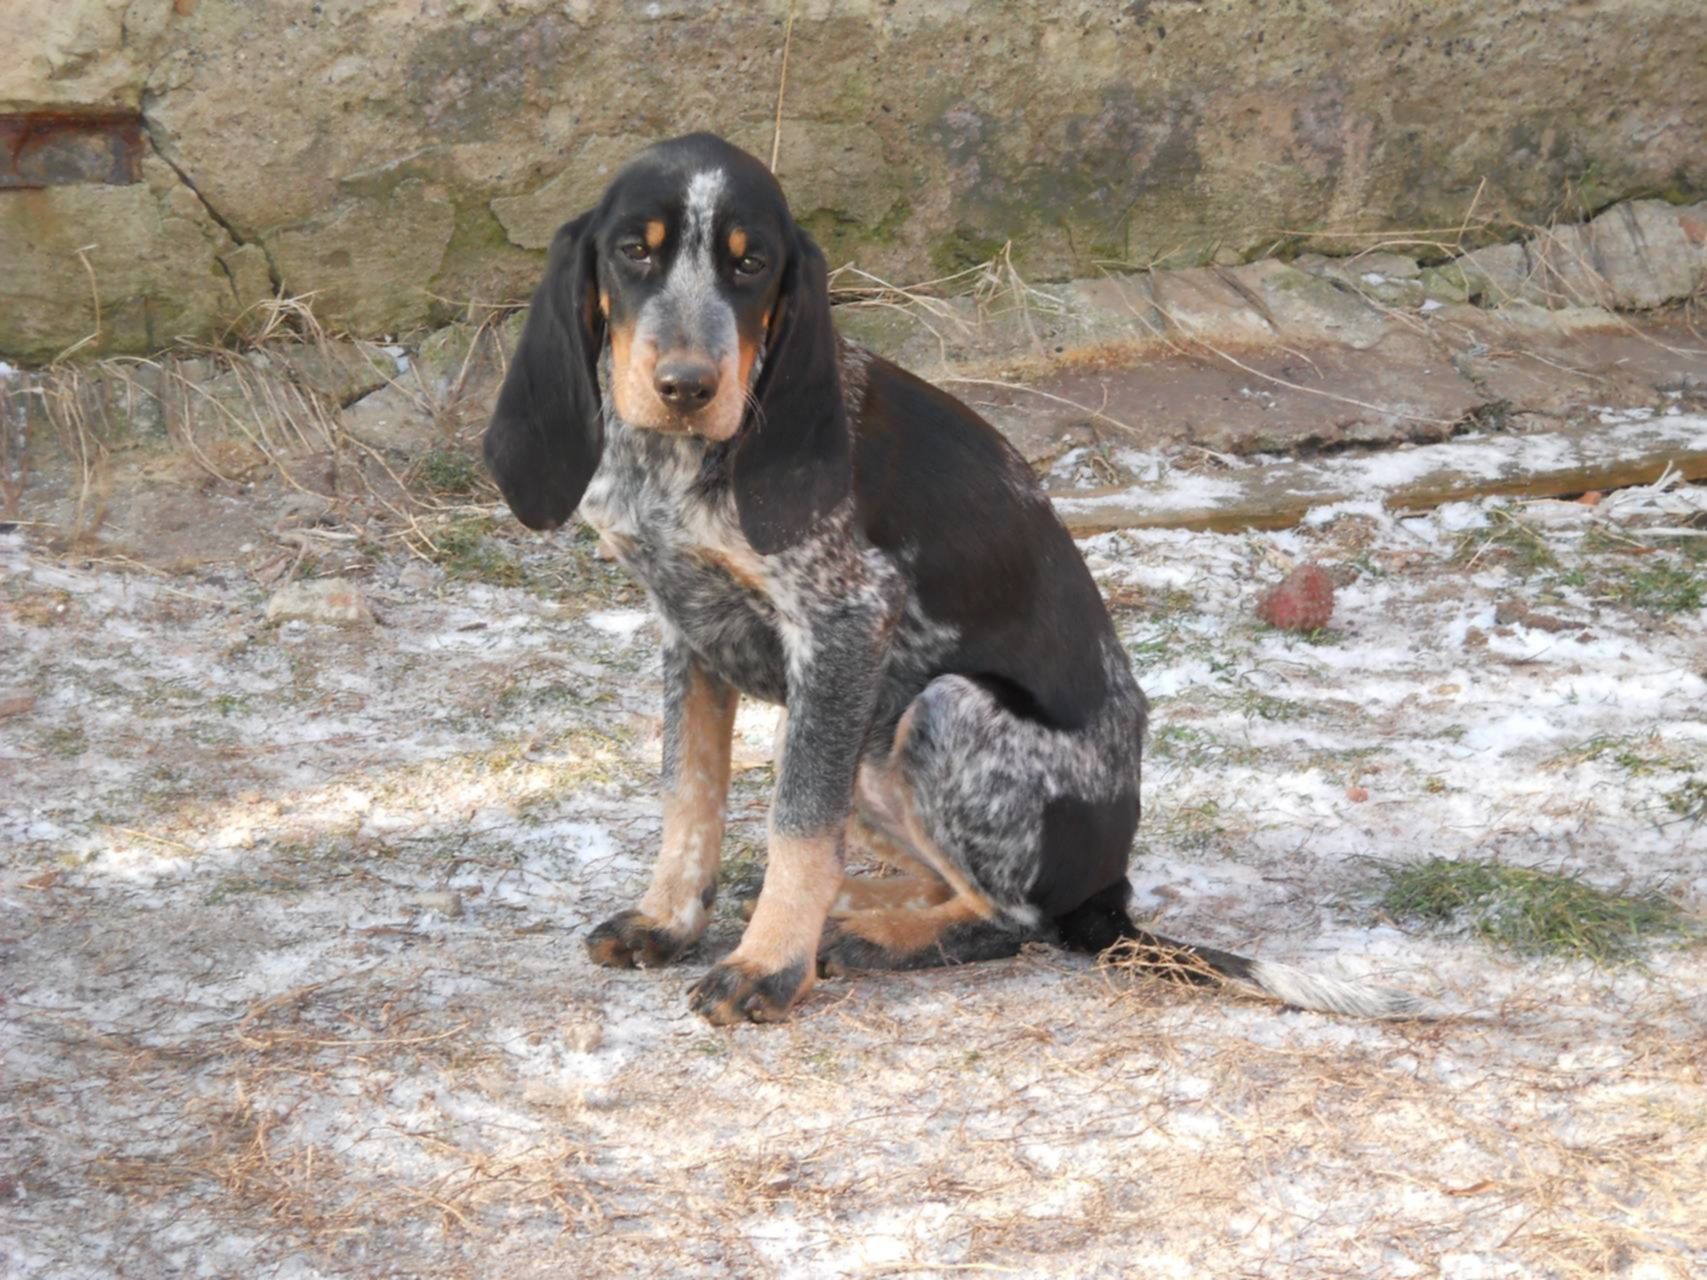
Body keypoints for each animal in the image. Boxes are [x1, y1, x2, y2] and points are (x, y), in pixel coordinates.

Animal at [481, 135, 1427, 1030]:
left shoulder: (844, 622)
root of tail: (1107, 896)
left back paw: (863, 934)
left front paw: (768, 967)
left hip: (939, 708)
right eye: (631, 254)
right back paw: (855, 903)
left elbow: (797, 825)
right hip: (864, 750)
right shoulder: (689, 633)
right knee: (932, 877)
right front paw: (670, 920)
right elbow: (690, 793)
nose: (686, 386)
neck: (673, 466)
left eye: (751, 266)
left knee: (1010, 918)